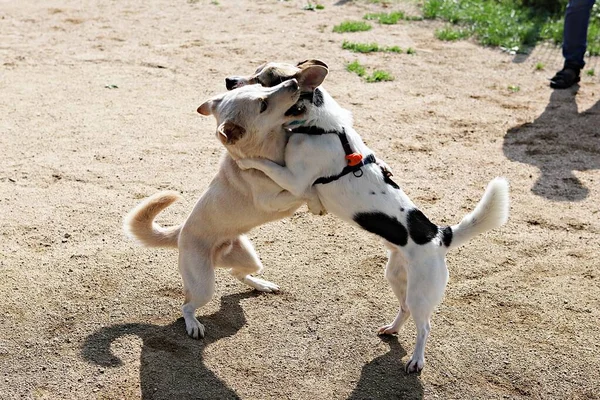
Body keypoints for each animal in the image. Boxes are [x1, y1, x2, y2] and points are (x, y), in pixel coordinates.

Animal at [123, 68, 326, 338]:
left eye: (262, 87)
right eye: (263, 104)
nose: (293, 82)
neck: (270, 147)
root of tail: (181, 232)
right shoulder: (273, 199)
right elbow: (302, 190)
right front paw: (316, 202)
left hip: (249, 257)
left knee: (237, 273)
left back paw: (262, 285)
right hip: (203, 285)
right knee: (187, 305)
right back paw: (193, 324)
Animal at [227, 59, 508, 372]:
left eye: (264, 80)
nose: (229, 81)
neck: (317, 127)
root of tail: (440, 234)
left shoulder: (294, 179)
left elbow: (263, 163)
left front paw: (244, 159)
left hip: (421, 293)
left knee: (425, 327)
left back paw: (416, 360)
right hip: (396, 276)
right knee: (404, 309)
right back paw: (392, 329)